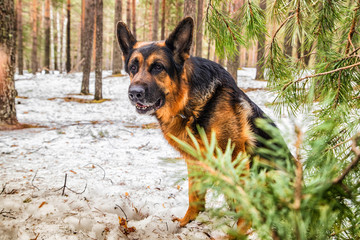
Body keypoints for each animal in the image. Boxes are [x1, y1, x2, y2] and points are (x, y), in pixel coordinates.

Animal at [116, 17, 286, 232]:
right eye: (133, 68)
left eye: (158, 67)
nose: (134, 93)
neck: (188, 104)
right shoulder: (194, 160)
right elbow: (194, 193)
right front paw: (187, 222)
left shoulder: (235, 156)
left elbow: (244, 199)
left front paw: (238, 231)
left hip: (272, 174)